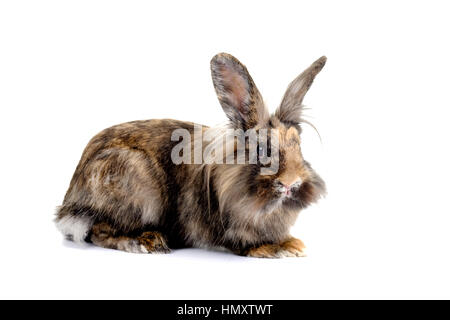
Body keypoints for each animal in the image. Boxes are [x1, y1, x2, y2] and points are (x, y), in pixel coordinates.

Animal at [55, 52, 326, 258]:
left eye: (299, 145)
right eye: (261, 149)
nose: (291, 183)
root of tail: (70, 203)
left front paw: (293, 244)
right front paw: (281, 248)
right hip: (136, 185)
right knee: (99, 231)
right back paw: (146, 242)